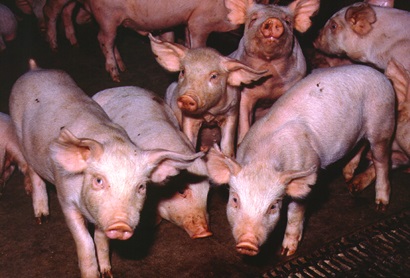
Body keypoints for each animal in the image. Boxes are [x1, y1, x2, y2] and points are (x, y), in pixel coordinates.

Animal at [207, 64, 396, 256]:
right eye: (235, 200)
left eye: (273, 206)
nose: (247, 244)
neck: (263, 160)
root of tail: (381, 76)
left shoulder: (306, 170)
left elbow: (295, 214)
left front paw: (286, 252)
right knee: (361, 144)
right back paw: (349, 180)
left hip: (382, 122)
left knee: (381, 161)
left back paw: (380, 205)